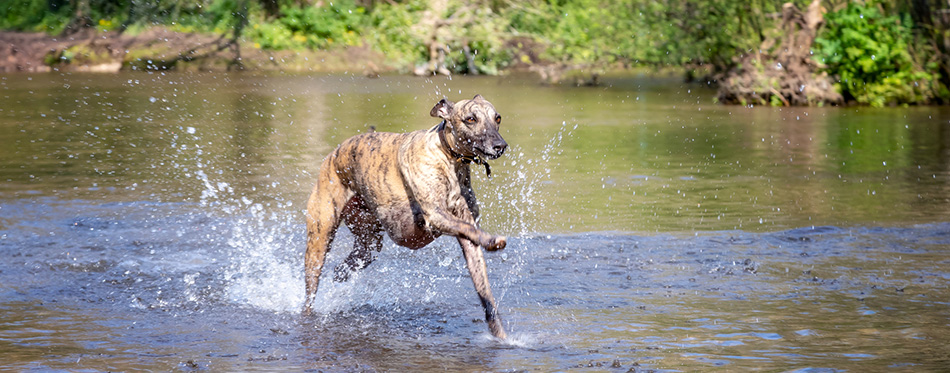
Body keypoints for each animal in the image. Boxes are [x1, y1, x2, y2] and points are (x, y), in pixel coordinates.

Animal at [304, 93, 512, 338]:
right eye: (471, 119)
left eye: (497, 118)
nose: (500, 146)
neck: (447, 156)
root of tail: (334, 153)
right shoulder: (436, 216)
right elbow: (469, 229)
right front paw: (492, 240)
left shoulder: (467, 237)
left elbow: (485, 293)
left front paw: (501, 334)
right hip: (320, 237)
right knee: (310, 290)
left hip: (369, 241)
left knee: (351, 262)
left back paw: (340, 274)